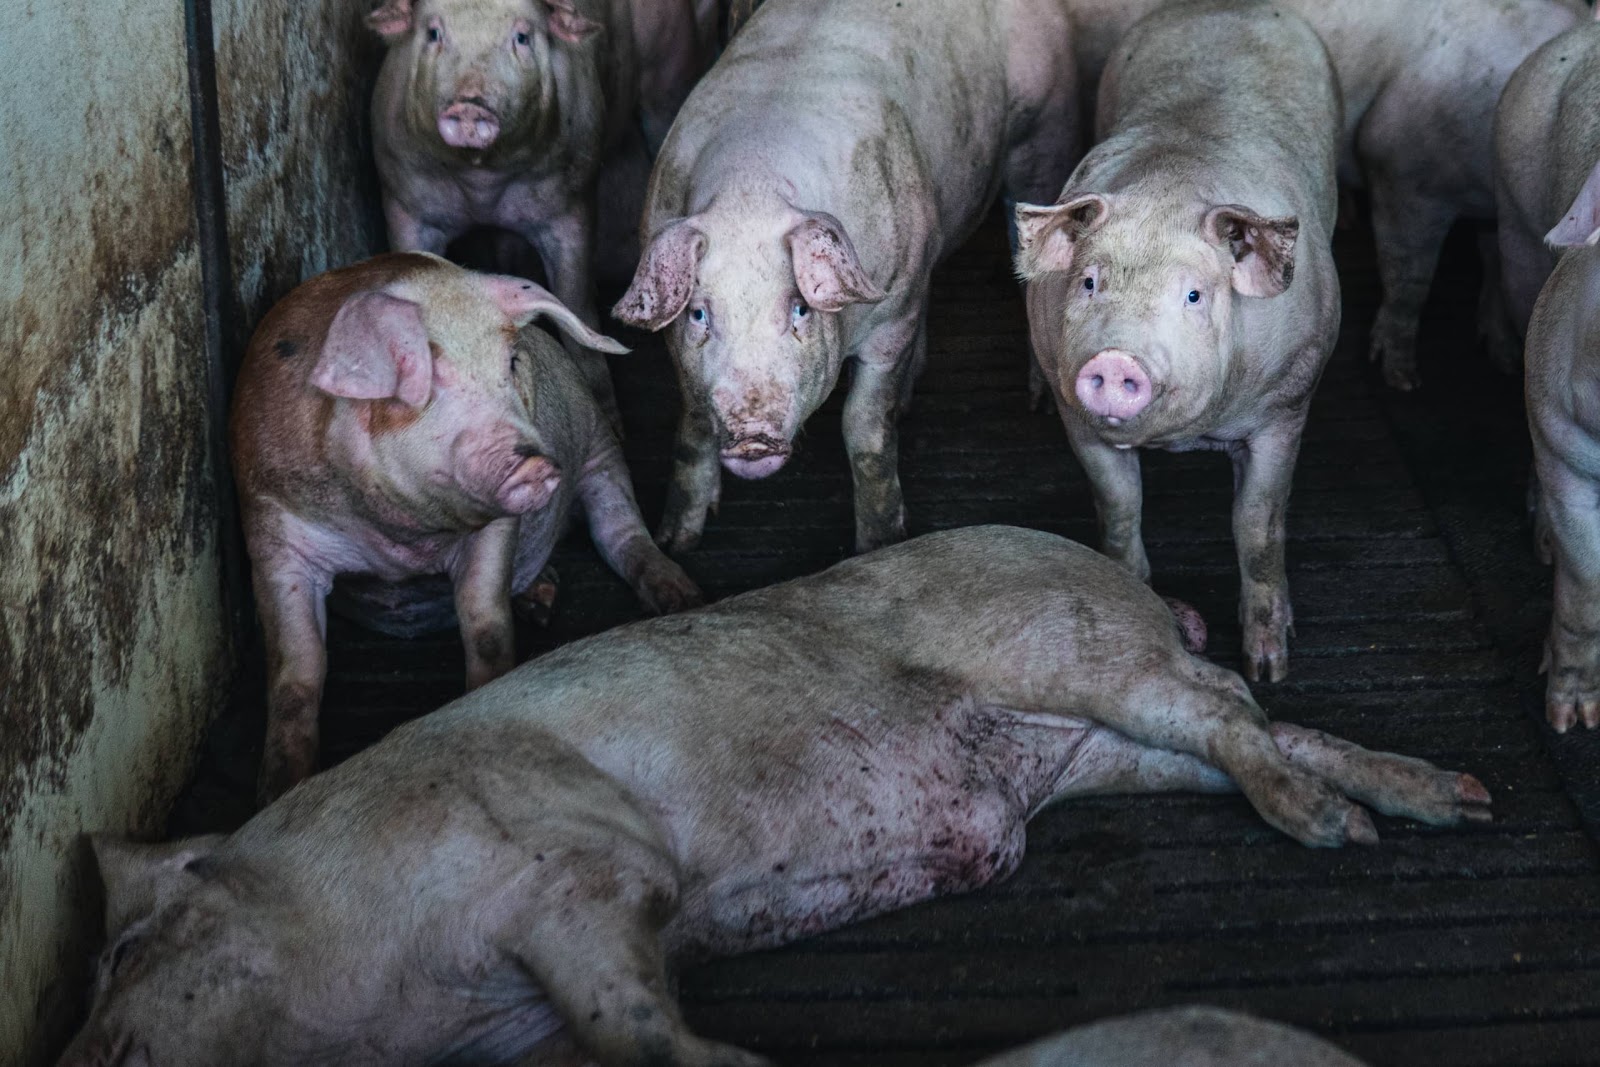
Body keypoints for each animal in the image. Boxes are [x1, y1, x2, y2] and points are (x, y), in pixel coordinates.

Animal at [57, 526, 1489, 1067]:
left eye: (126, 946)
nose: (78, 1050)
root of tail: (1114, 570)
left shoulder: (570, 854)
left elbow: (639, 1016)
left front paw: (734, 1059)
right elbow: (613, 1029)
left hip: (1074, 649)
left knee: (1227, 706)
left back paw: (1341, 827)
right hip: (1090, 743)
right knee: (1253, 722)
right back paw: (1443, 802)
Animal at [230, 252, 699, 804]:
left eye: (512, 362)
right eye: (430, 378)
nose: (535, 465)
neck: (397, 541)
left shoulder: (494, 529)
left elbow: (484, 620)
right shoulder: (272, 532)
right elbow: (298, 669)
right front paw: (278, 791)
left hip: (600, 449)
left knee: (620, 531)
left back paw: (680, 598)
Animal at [368, 0, 716, 420]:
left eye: (522, 37)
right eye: (434, 33)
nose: (469, 105)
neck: (482, 178)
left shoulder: (569, 206)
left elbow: (576, 306)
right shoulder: (403, 202)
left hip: (668, 63)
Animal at [611, 0, 1082, 554]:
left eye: (799, 308)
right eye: (701, 314)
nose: (753, 435)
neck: (751, 192)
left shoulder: (891, 314)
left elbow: (865, 428)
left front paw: (880, 543)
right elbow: (691, 425)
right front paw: (675, 542)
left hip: (1045, 135)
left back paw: (1039, 402)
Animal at [1014, 0, 1342, 684]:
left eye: (1193, 296)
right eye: (1089, 282)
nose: (1117, 358)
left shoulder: (1286, 407)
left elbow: (1257, 527)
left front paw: (1268, 669)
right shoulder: (1079, 420)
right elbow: (1119, 512)